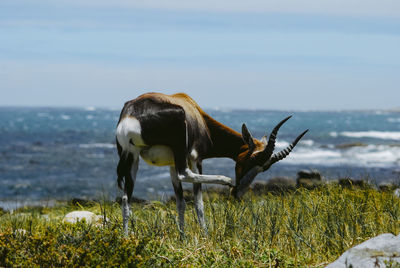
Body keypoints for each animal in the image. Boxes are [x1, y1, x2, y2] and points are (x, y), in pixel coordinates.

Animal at [115, 92, 306, 234]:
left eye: (263, 168)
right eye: (251, 159)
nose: (237, 192)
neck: (195, 112)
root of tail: (131, 114)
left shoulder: (171, 163)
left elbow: (180, 203)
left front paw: (183, 237)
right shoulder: (195, 158)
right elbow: (199, 203)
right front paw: (205, 236)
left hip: (133, 157)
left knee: (126, 199)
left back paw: (126, 238)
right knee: (185, 174)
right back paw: (226, 180)